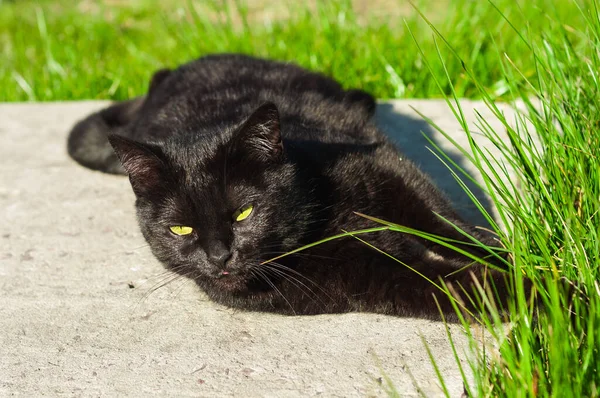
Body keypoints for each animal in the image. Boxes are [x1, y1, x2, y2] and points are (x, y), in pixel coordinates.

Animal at [67, 54, 516, 320]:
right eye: (180, 229)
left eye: (244, 212)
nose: (218, 257)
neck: (318, 219)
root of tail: (163, 78)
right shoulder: (372, 275)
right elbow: (458, 287)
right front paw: (531, 294)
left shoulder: (386, 167)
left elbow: (447, 222)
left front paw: (512, 256)